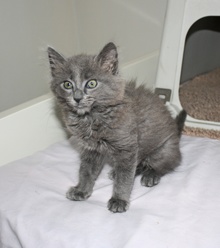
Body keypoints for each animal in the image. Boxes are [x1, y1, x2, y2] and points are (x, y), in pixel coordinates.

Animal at [47, 42, 186, 213]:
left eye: (92, 83)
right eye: (67, 84)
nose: (77, 98)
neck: (91, 118)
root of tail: (176, 133)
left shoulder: (127, 148)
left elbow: (124, 177)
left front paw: (119, 199)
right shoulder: (91, 149)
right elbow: (86, 171)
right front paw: (81, 190)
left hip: (163, 150)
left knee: (168, 163)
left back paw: (151, 175)